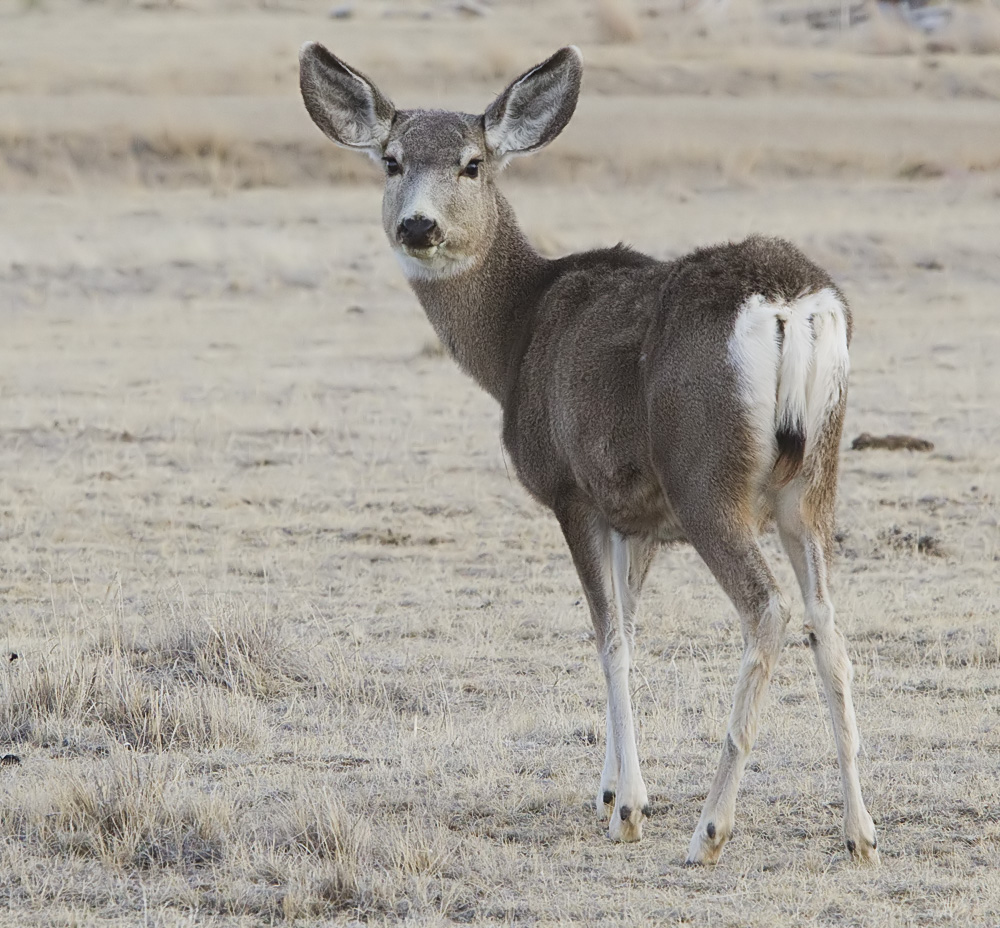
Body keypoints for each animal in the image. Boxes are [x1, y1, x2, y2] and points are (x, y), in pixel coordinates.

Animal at [298, 43, 879, 866]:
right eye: (391, 160)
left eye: (472, 164)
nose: (417, 225)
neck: (514, 337)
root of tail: (793, 306)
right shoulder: (637, 512)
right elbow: (630, 629)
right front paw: (612, 789)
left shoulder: (573, 490)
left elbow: (608, 638)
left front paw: (629, 808)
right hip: (813, 481)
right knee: (829, 625)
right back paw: (860, 831)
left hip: (706, 476)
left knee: (768, 609)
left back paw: (711, 829)